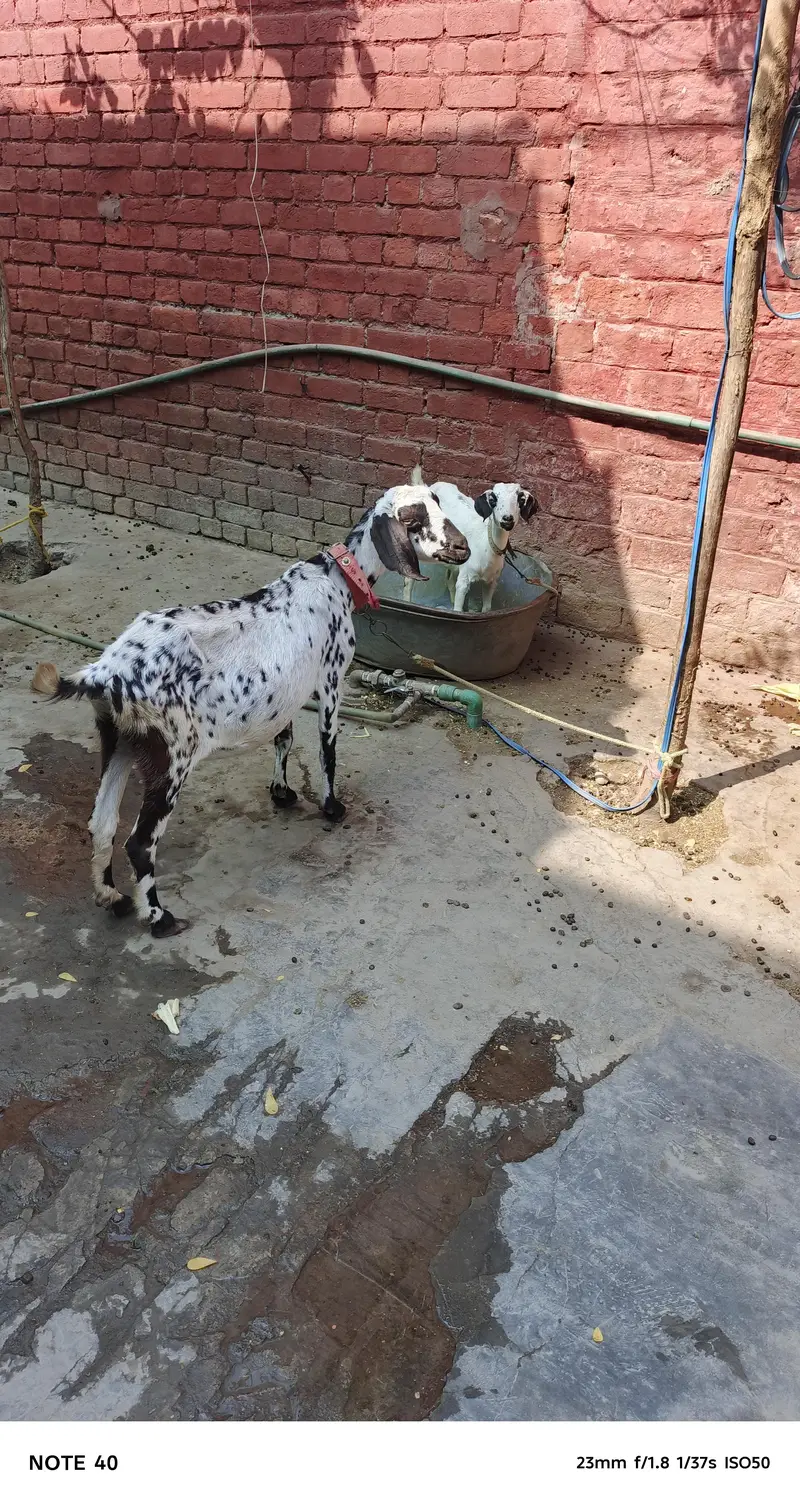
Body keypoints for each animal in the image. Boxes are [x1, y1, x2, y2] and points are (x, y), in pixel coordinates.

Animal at [52, 485, 468, 937]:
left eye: (438, 503)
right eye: (412, 519)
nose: (462, 547)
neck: (336, 577)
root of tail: (105, 672)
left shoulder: (285, 693)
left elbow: (284, 736)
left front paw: (281, 792)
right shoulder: (330, 677)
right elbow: (327, 748)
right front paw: (332, 807)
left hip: (120, 740)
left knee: (101, 823)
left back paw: (112, 898)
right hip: (172, 754)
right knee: (140, 843)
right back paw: (160, 918)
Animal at [404, 469, 537, 613]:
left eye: (520, 499)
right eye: (493, 499)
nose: (507, 519)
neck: (487, 545)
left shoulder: (491, 581)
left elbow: (486, 608)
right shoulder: (464, 578)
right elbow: (458, 609)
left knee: (449, 579)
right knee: (409, 578)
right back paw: (407, 602)